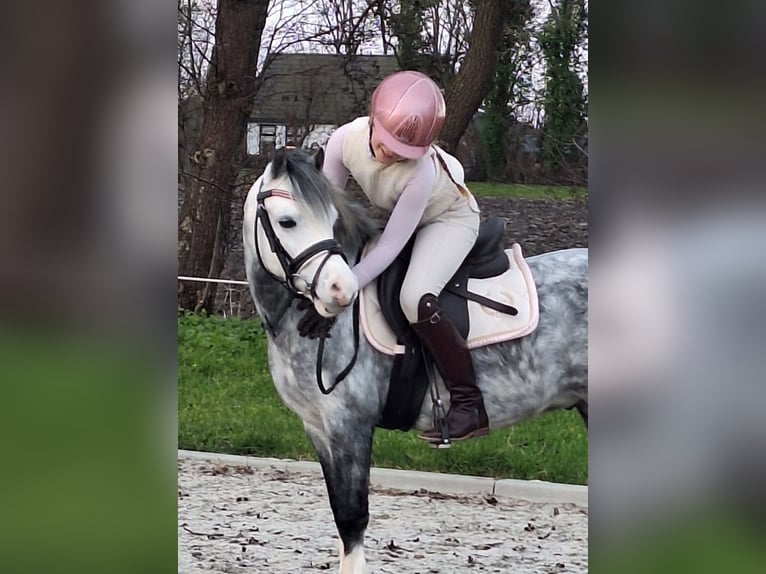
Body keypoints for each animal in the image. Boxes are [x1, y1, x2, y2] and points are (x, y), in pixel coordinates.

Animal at [243, 148, 592, 574]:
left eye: (331, 220)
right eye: (287, 221)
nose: (340, 291)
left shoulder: (349, 426)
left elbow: (353, 518)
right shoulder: (318, 429)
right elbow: (341, 515)